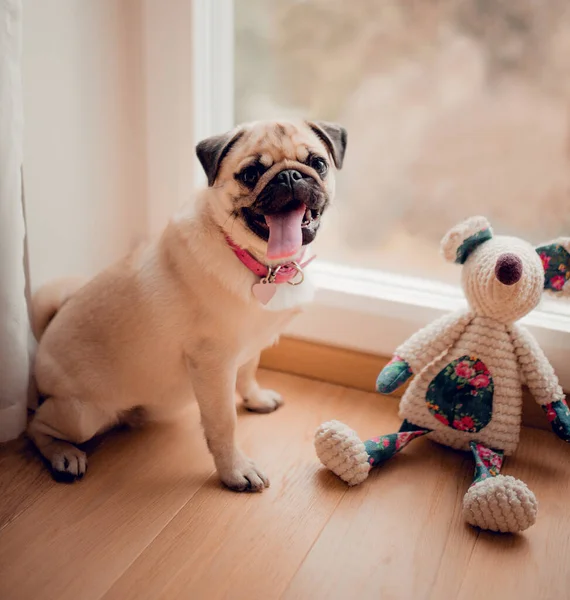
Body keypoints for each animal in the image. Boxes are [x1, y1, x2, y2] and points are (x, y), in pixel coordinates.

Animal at [28, 119, 346, 490]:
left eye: (318, 163)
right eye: (251, 174)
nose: (291, 176)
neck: (261, 263)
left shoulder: (248, 347)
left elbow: (248, 372)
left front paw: (256, 399)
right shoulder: (213, 363)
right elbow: (223, 423)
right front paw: (235, 470)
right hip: (82, 415)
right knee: (36, 425)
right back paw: (63, 455)